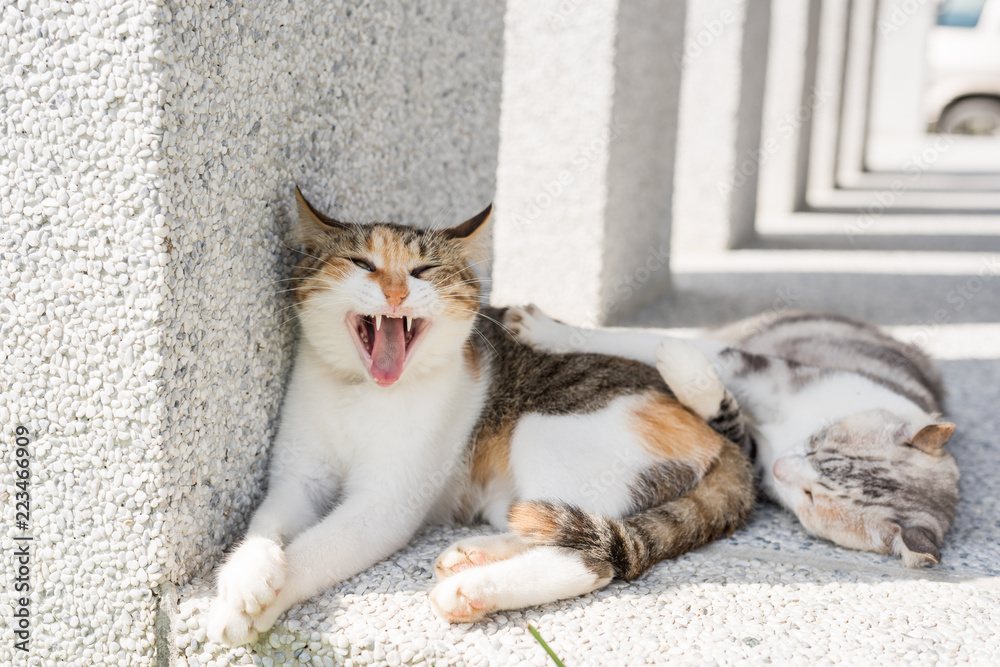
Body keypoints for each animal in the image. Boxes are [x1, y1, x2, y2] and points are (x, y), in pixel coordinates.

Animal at [205, 189, 752, 648]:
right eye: (362, 263)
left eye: (423, 270)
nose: (396, 294)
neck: (359, 393)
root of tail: (722, 441)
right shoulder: (298, 480)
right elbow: (265, 524)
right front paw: (245, 579)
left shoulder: (384, 506)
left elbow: (315, 549)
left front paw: (247, 608)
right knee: (550, 520)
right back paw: (478, 551)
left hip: (545, 425)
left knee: (591, 557)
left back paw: (474, 589)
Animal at [508, 308, 960, 568]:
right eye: (819, 439)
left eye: (813, 499)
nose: (781, 467)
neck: (787, 432)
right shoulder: (760, 368)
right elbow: (645, 342)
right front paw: (546, 330)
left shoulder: (750, 455)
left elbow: (727, 414)